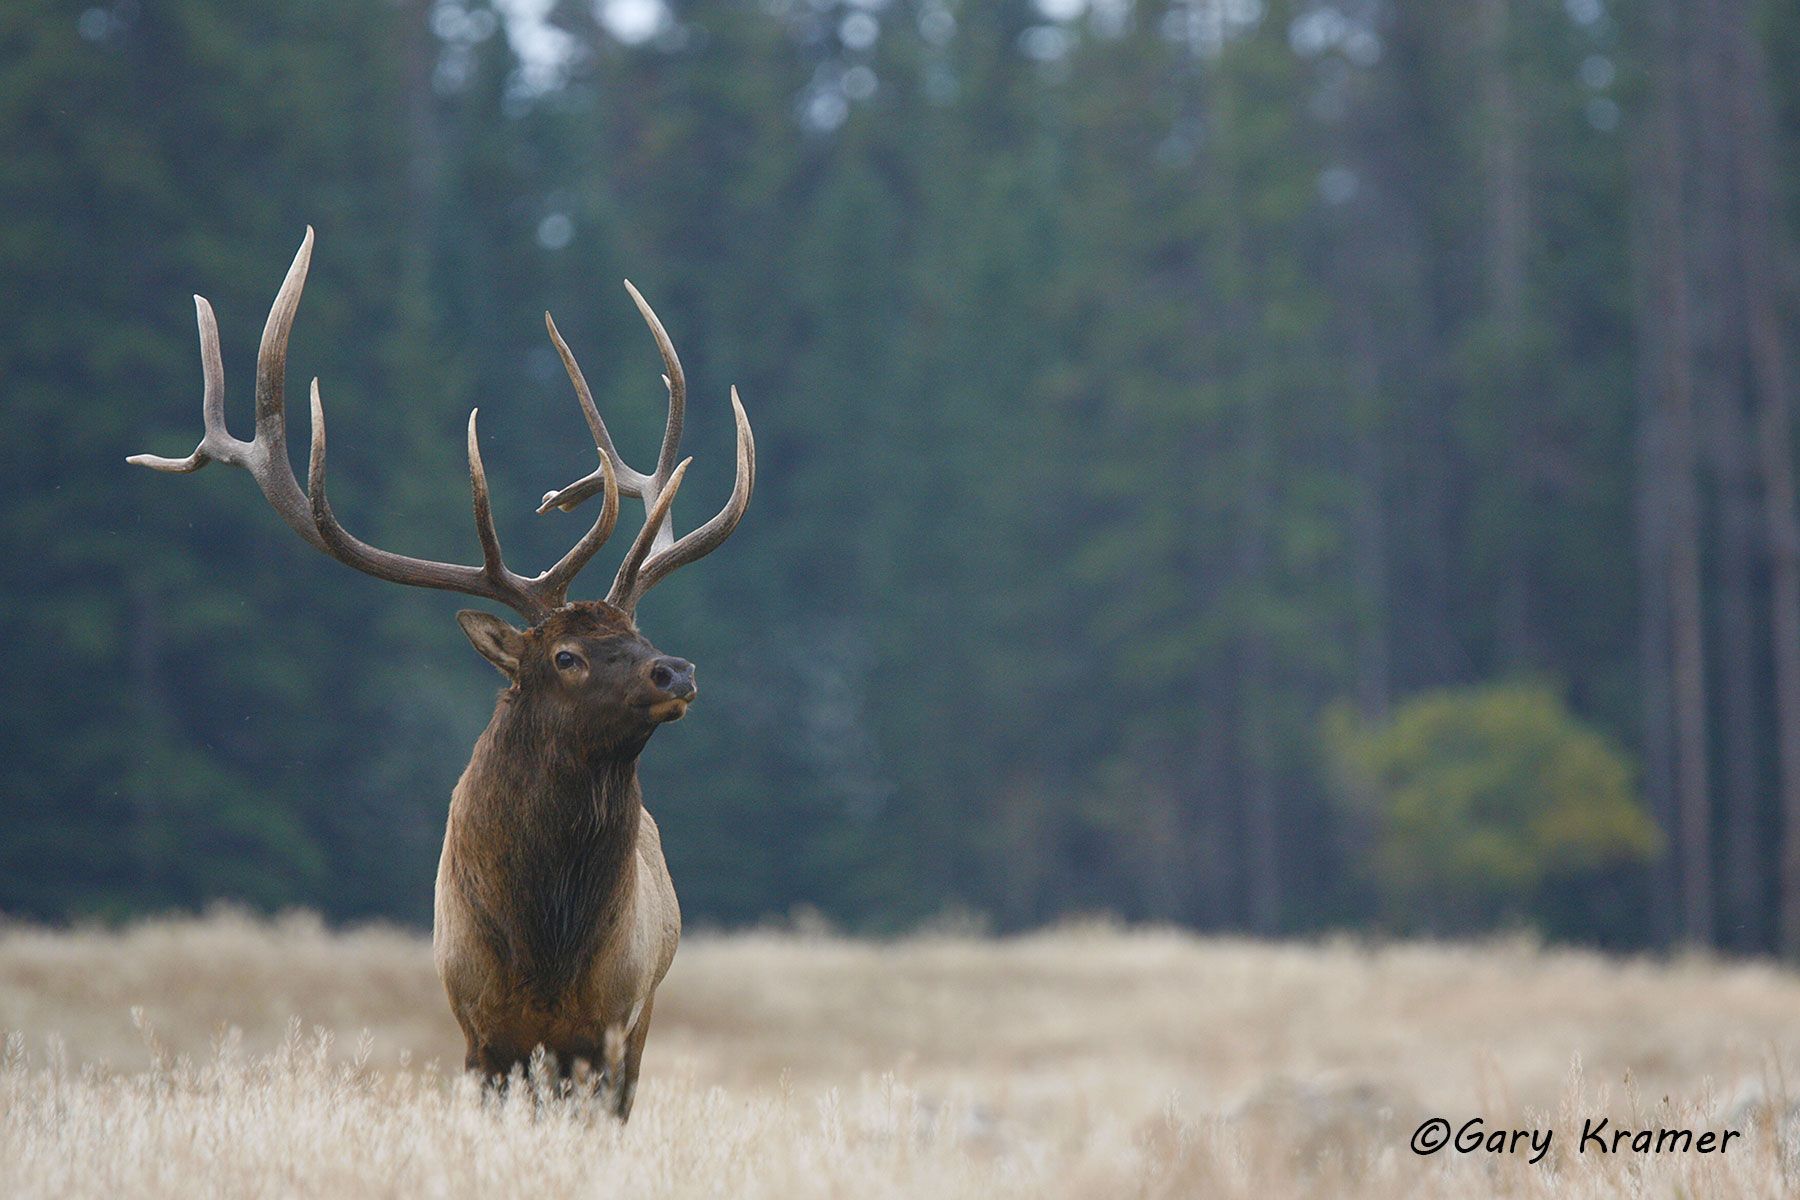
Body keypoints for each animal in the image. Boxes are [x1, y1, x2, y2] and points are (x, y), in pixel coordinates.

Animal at [128, 229, 753, 1120]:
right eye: (564, 657)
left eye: (636, 631)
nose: (677, 671)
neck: (547, 946)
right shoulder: (478, 1022)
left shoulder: (616, 1018)